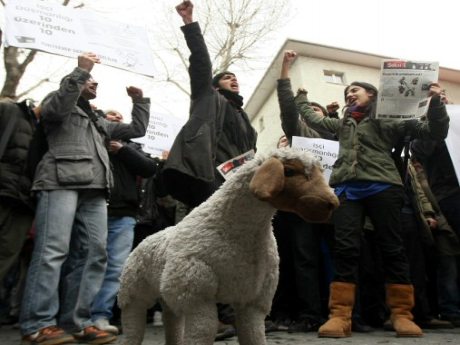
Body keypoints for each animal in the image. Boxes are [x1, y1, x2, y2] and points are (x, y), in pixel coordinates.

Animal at [117, 147, 340, 344]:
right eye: (290, 171)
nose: (333, 204)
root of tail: (144, 241)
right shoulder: (197, 293)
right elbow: (203, 333)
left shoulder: (253, 298)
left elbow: (254, 336)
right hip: (134, 293)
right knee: (133, 329)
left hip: (168, 295)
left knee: (172, 322)